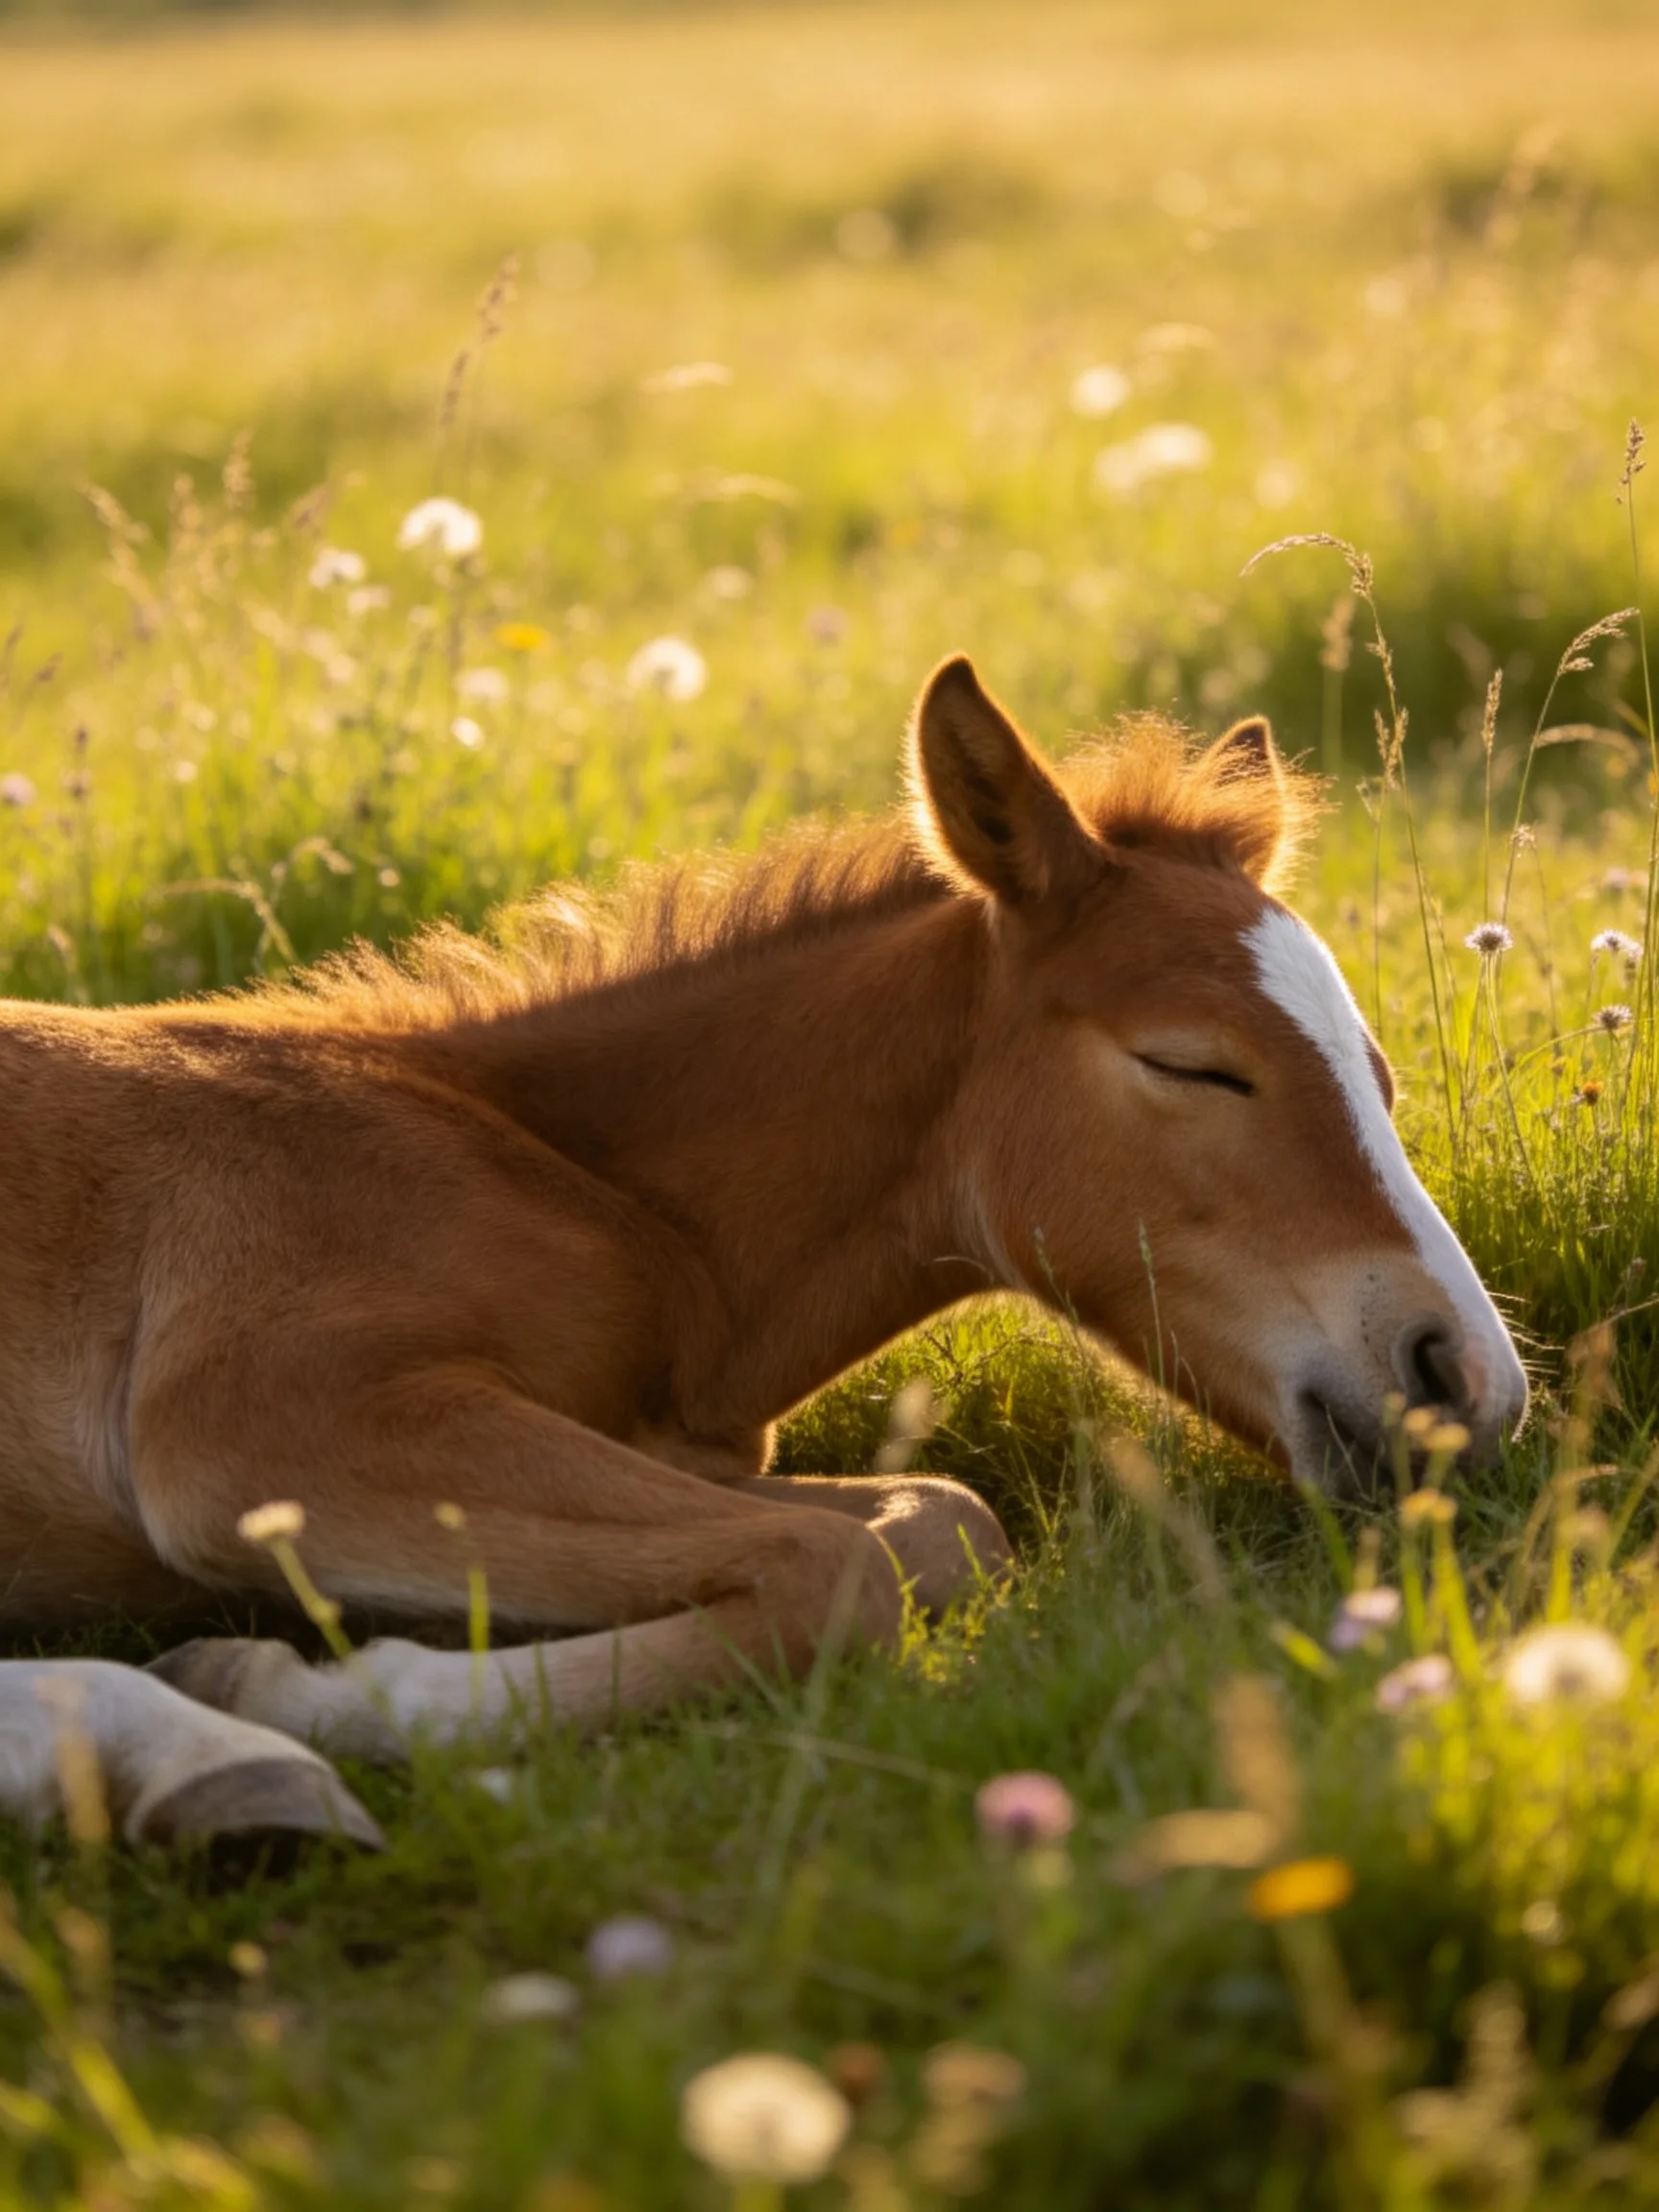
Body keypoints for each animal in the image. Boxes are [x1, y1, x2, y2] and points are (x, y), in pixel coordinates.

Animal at [0, 655, 1527, 1849]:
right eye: (1193, 1064)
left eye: (1377, 1068)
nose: (1464, 1379)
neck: (573, 1182)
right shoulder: (267, 1422)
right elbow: (826, 1569)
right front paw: (302, 1692)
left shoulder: (674, 1451)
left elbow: (946, 1524)